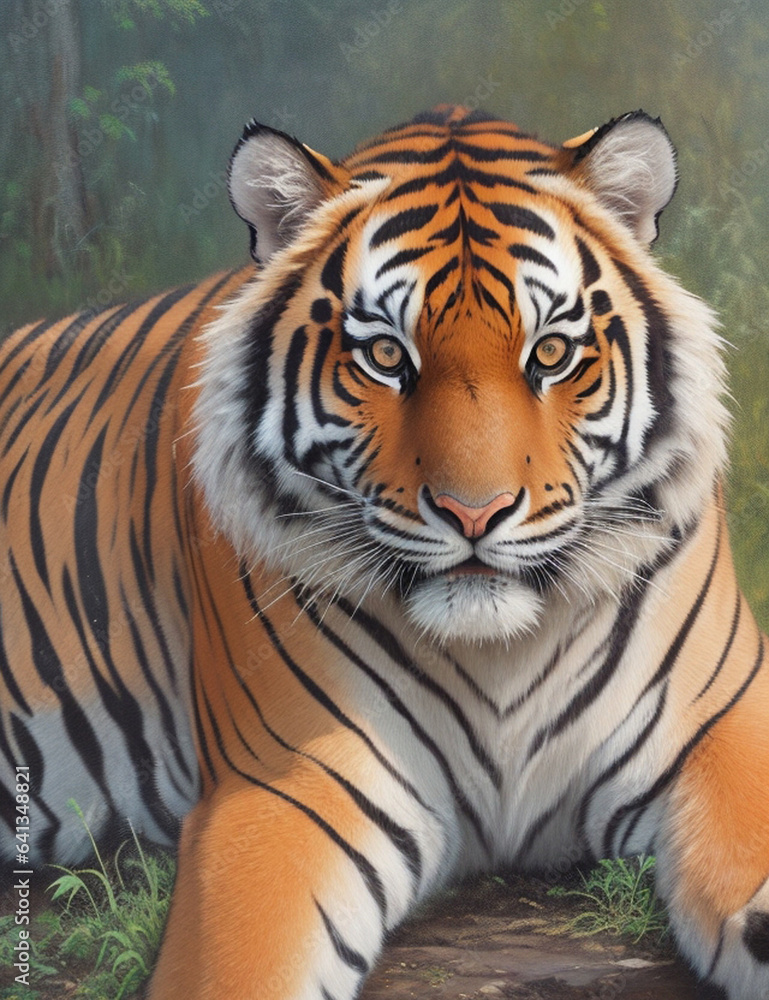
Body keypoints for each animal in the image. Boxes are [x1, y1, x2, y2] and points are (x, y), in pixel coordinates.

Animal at [0, 104, 767, 1000]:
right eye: (385, 356)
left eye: (548, 353)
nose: (475, 512)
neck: (499, 656)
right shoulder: (291, 787)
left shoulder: (722, 728)